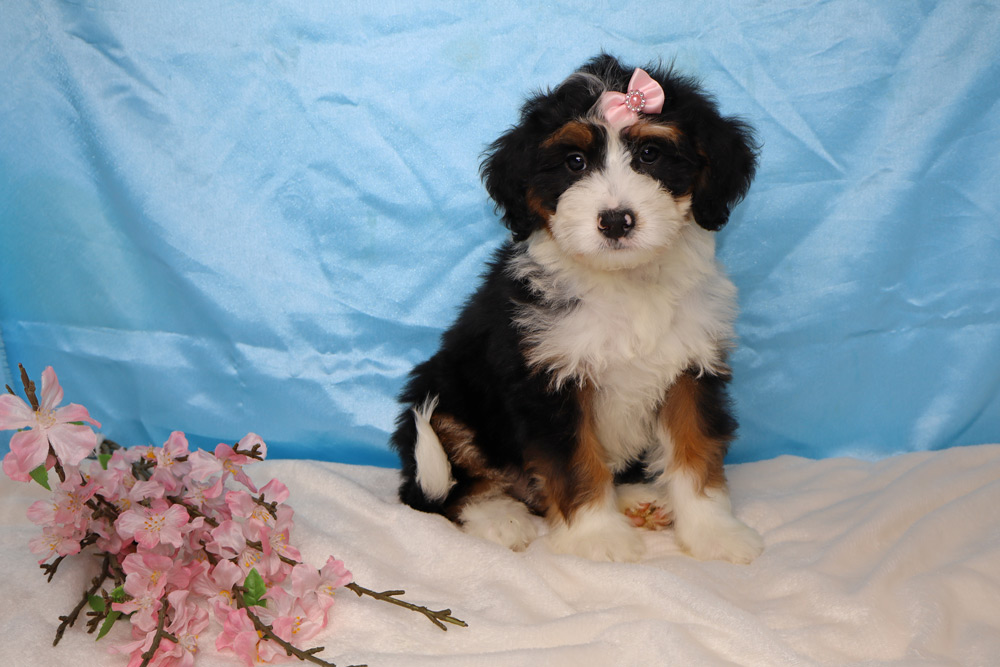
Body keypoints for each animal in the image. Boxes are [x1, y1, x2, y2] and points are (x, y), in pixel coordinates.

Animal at [390, 54, 762, 563]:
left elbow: (695, 448)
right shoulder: (548, 377)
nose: (616, 220)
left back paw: (636, 499)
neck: (624, 281)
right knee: (448, 487)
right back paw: (499, 517)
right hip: (444, 396)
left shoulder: (691, 365)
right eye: (575, 162)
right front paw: (597, 537)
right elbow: (576, 461)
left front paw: (713, 531)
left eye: (650, 155)